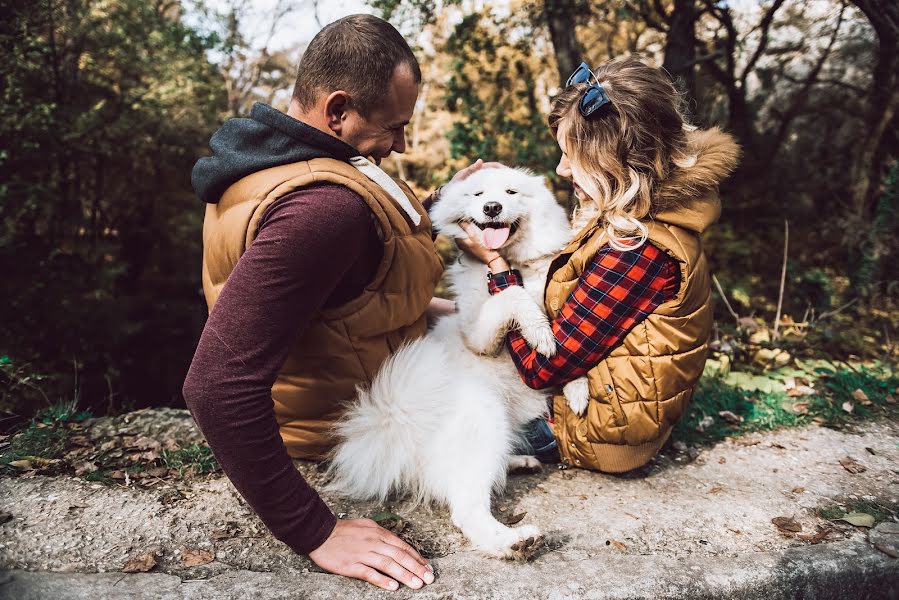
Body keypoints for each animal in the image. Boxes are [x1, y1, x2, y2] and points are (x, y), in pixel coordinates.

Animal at [326, 168, 580, 556]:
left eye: (511, 192)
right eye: (478, 195)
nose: (492, 208)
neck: (512, 263)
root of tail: (397, 423)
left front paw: (580, 389)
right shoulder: (479, 335)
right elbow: (513, 295)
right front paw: (540, 333)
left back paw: (519, 463)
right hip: (485, 416)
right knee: (467, 508)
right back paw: (513, 542)